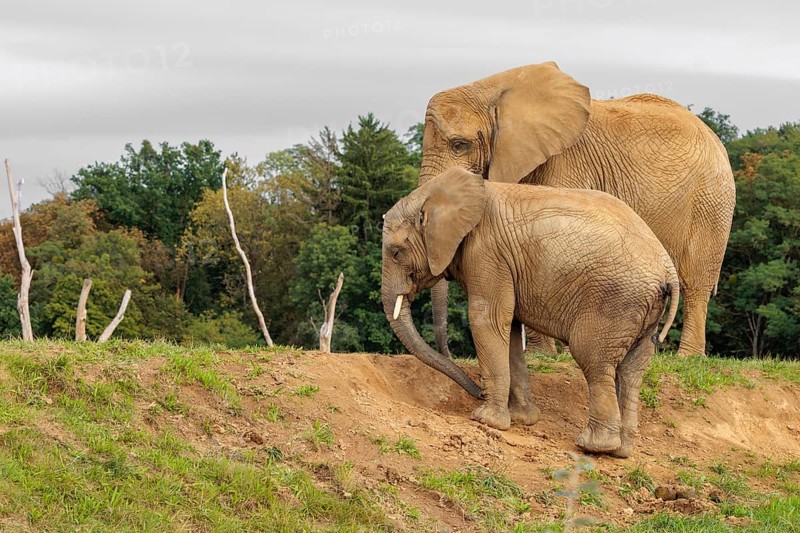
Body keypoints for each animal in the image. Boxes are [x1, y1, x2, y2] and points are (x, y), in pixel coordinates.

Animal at [382, 167, 679, 458]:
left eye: (396, 253)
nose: (479, 392)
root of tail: (668, 271)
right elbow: (510, 328)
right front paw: (522, 420)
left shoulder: (487, 252)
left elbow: (487, 320)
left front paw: (486, 420)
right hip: (644, 310)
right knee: (632, 371)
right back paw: (621, 451)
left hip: (615, 301)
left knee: (595, 362)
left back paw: (593, 447)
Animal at [420, 62, 734, 357]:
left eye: (459, 145)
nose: (449, 353)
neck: (491, 89)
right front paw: (542, 355)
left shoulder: (566, 160)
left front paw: (549, 355)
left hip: (711, 201)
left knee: (696, 279)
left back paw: (686, 357)